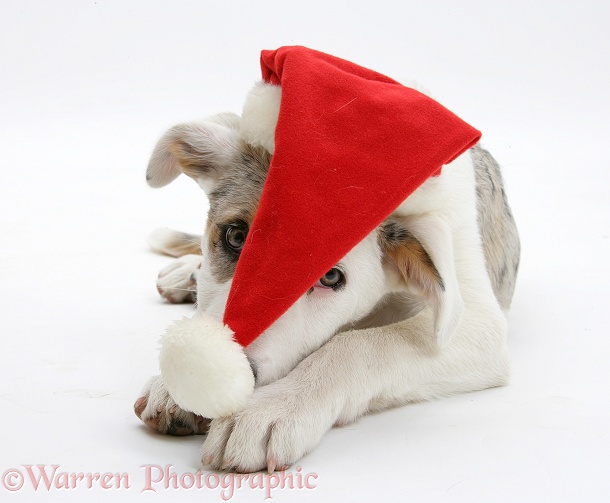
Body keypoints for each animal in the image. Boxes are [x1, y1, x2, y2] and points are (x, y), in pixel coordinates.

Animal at [133, 109, 516, 472]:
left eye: (330, 277)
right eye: (236, 237)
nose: (207, 380)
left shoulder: (477, 322)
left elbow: (360, 345)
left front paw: (273, 405)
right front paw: (171, 387)